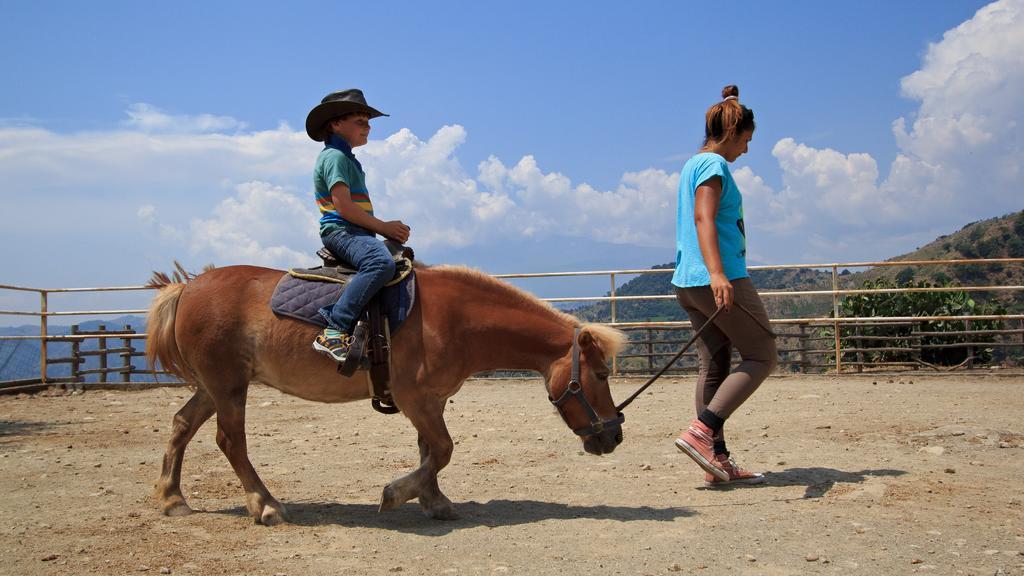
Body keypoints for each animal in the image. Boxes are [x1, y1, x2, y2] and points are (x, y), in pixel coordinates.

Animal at [144, 262, 622, 522]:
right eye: (600, 374)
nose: (614, 436)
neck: (455, 318)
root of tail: (186, 287)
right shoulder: (415, 399)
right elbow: (443, 449)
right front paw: (397, 493)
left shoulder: (430, 400)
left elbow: (430, 450)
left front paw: (433, 500)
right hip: (228, 386)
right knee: (231, 441)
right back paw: (264, 505)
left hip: (215, 386)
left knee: (182, 424)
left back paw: (173, 499)